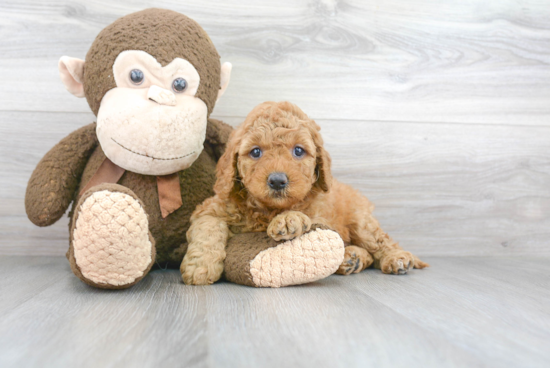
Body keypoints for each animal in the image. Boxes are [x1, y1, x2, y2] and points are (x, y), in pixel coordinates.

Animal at [182, 102, 432, 286]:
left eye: (298, 151)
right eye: (255, 152)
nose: (277, 180)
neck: (266, 209)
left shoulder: (320, 213)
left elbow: (304, 215)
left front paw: (287, 219)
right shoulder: (211, 209)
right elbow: (207, 230)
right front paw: (200, 268)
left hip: (361, 221)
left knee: (380, 242)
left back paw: (395, 258)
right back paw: (352, 258)